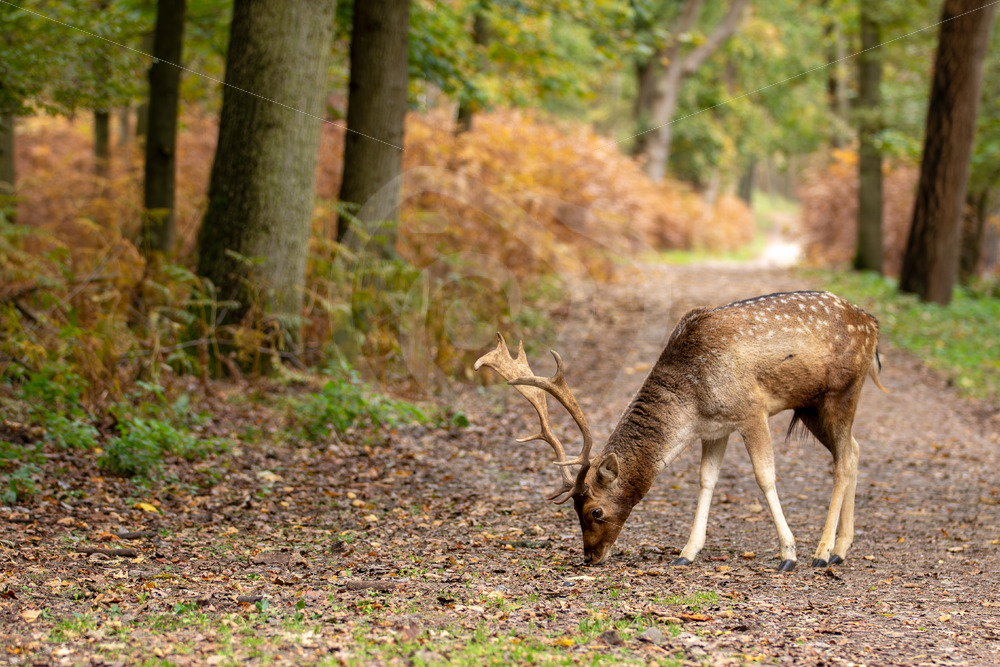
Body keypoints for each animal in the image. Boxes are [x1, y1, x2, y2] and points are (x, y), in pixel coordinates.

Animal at [474, 290, 887, 571]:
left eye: (594, 510)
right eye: (574, 509)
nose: (590, 557)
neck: (693, 399)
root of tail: (874, 324)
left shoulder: (751, 410)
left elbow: (765, 476)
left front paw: (788, 554)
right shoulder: (715, 428)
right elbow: (706, 480)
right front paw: (687, 553)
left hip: (841, 392)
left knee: (843, 460)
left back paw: (822, 553)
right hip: (812, 406)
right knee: (854, 449)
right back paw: (841, 549)